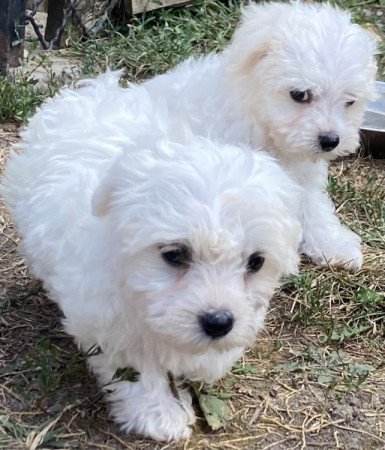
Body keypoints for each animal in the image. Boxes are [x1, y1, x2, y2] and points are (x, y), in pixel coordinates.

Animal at [3, 72, 304, 442]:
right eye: (174, 254)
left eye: (256, 262)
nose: (218, 322)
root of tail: (94, 91)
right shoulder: (110, 322)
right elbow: (136, 370)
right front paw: (158, 414)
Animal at [140, 0, 376, 268]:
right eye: (299, 94)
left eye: (350, 101)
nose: (330, 140)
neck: (261, 124)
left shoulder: (301, 175)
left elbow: (312, 206)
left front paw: (332, 243)